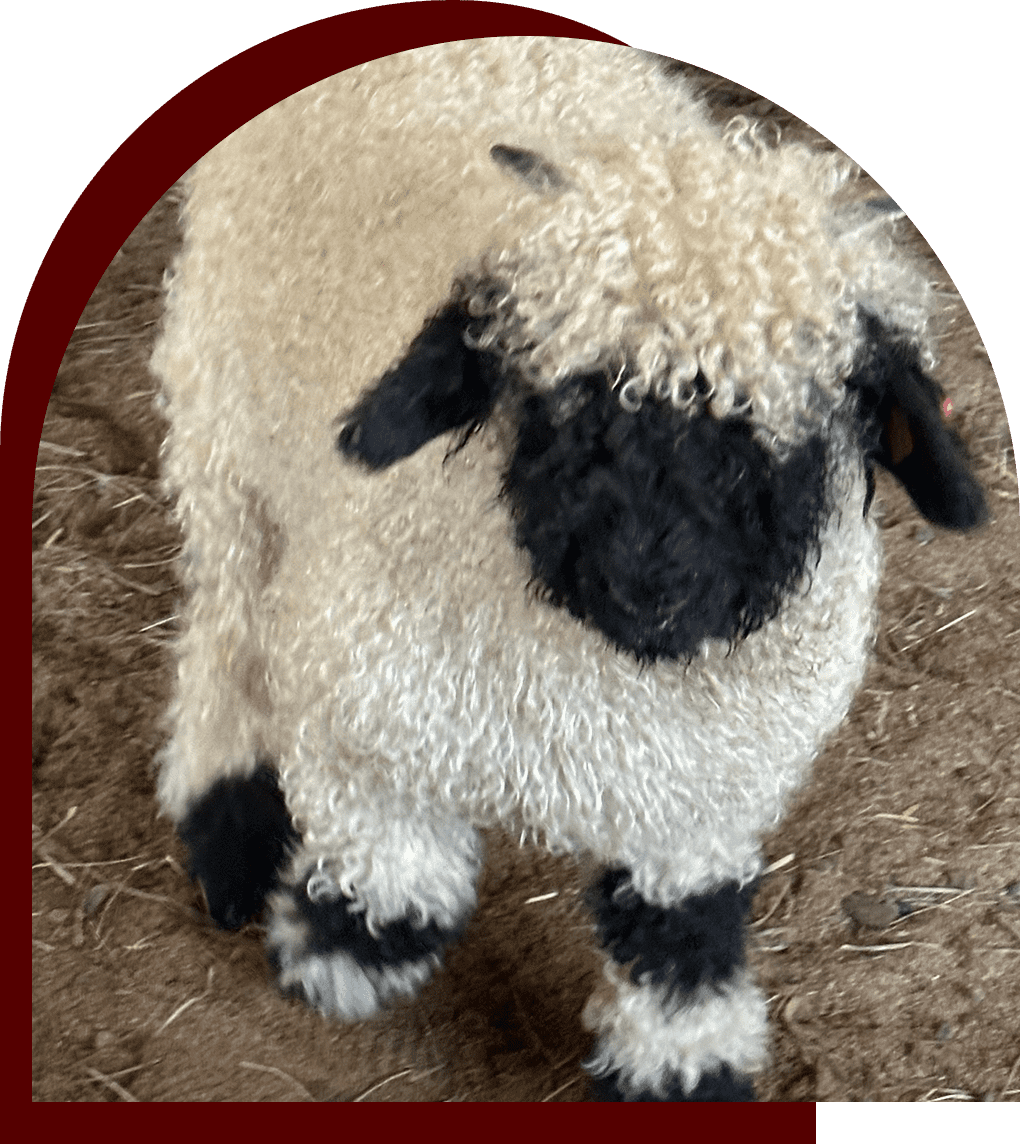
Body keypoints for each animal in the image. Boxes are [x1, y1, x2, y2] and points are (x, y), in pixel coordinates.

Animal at [151, 38, 986, 1101]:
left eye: (781, 441)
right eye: (566, 411)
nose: (651, 586)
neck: (597, 679)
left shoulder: (703, 793)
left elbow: (681, 932)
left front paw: (681, 1066)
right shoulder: (362, 699)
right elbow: (390, 860)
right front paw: (346, 951)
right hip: (225, 422)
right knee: (227, 627)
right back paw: (227, 826)